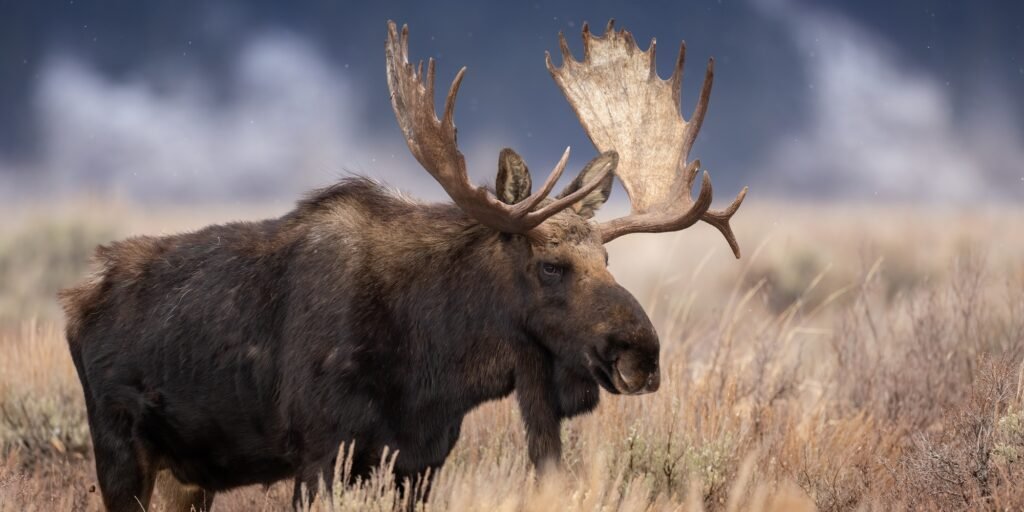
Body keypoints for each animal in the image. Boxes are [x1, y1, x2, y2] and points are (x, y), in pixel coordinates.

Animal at [59, 19, 746, 511]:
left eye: (606, 257)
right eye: (550, 265)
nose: (642, 353)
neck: (436, 359)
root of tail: (77, 298)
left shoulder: (421, 460)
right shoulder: (321, 453)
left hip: (187, 475)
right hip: (120, 453)